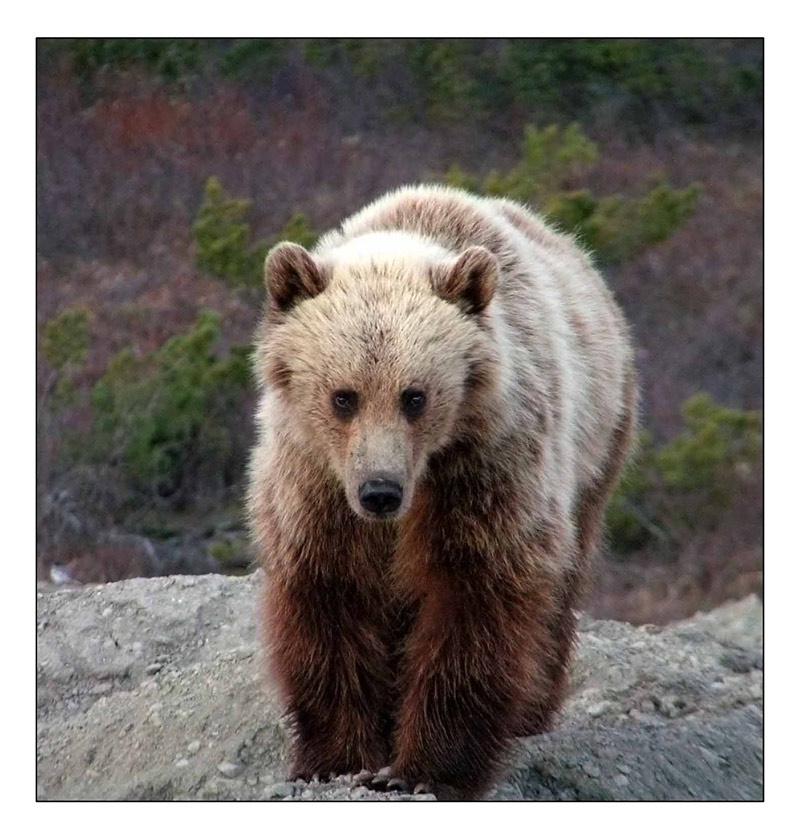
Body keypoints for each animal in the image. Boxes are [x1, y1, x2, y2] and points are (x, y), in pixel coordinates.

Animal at [247, 184, 637, 800]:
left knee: (561, 587)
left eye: (415, 396)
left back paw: (531, 711)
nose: (380, 491)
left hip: (598, 446)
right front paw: (337, 755)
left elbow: (472, 600)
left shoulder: (484, 470)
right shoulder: (315, 483)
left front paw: (425, 769)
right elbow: (328, 596)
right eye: (343, 396)